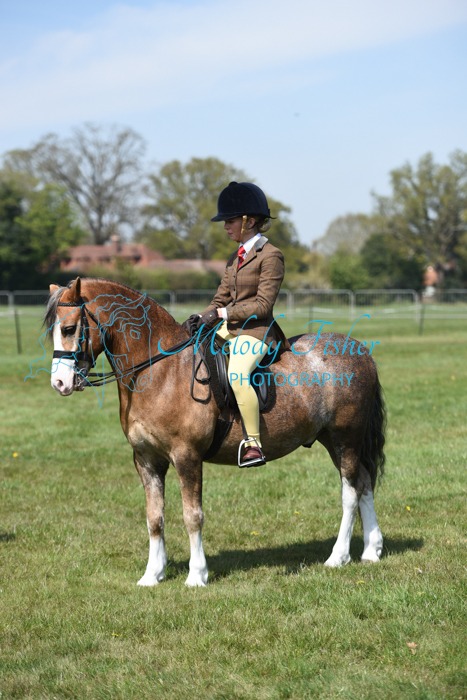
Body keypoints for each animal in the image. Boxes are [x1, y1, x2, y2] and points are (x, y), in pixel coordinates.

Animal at [45, 276, 386, 587]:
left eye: (69, 329)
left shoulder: (187, 457)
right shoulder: (146, 460)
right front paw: (152, 575)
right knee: (364, 483)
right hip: (335, 440)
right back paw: (371, 551)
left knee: (350, 492)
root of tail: (359, 350)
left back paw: (338, 557)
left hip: (345, 439)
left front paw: (197, 575)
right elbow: (155, 518)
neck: (161, 371)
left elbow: (192, 516)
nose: (59, 384)